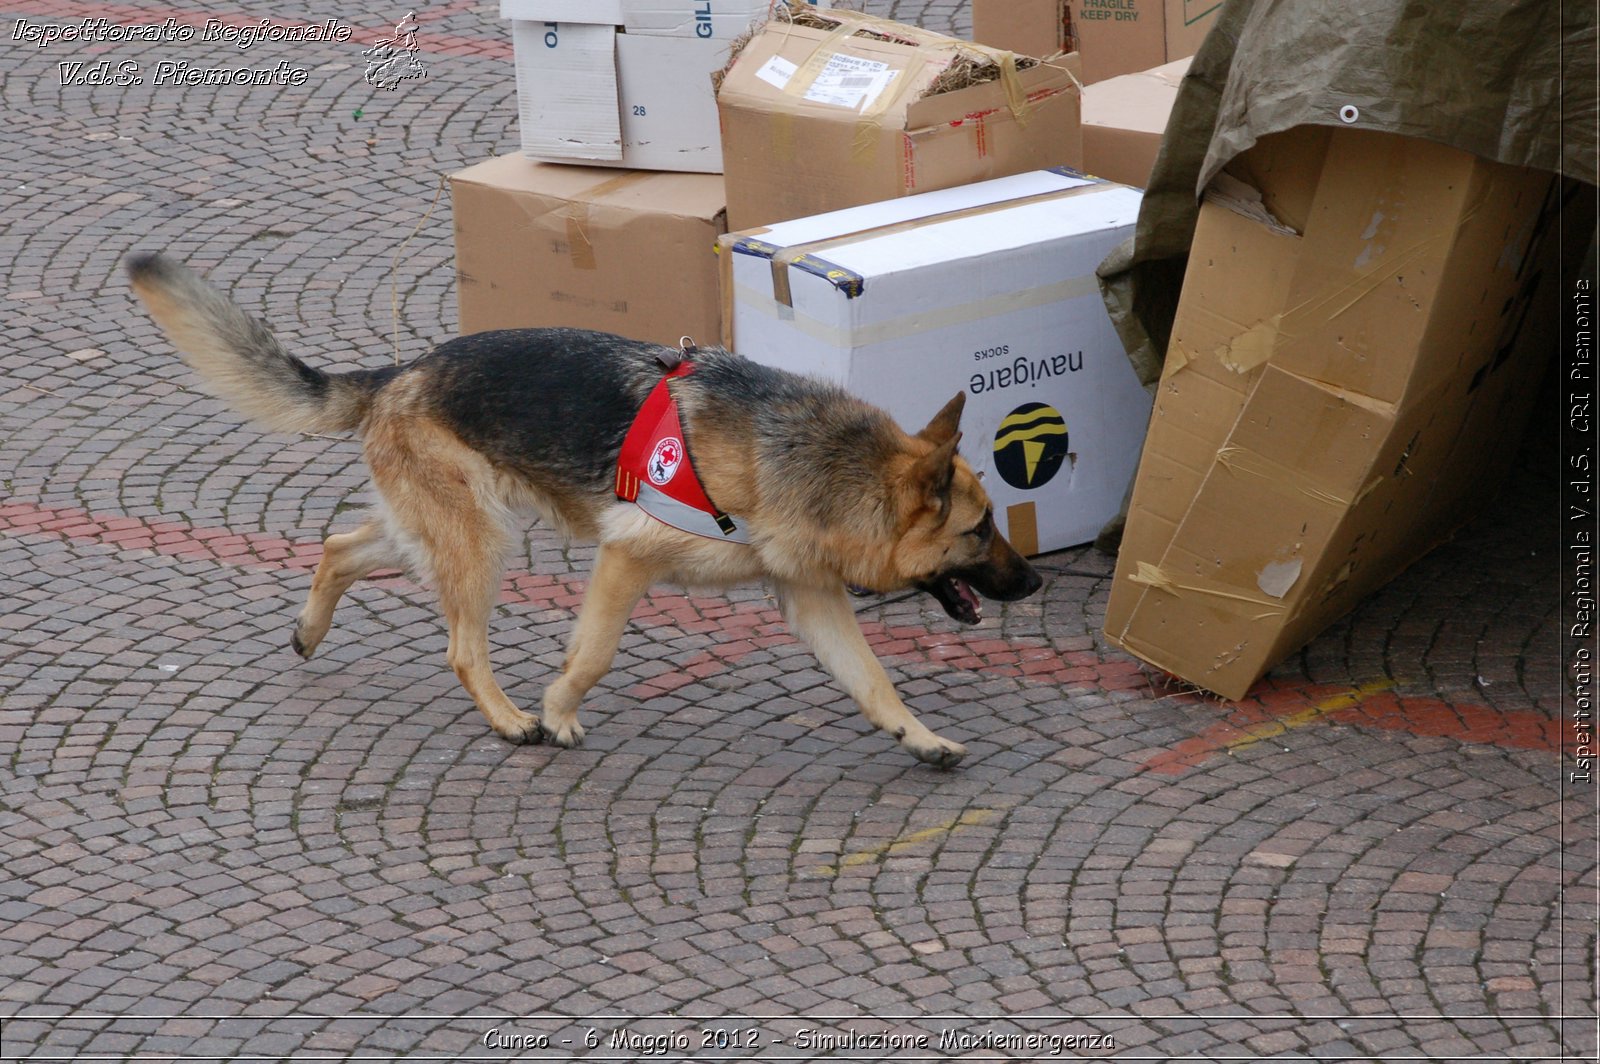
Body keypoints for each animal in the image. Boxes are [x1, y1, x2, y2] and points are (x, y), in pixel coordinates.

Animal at [128, 251, 1049, 764]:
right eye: (979, 531)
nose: (1036, 585)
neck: (805, 460)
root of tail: (399, 372)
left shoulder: (809, 596)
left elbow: (873, 681)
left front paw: (921, 739)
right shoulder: (628, 556)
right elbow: (594, 654)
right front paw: (557, 712)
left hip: (440, 530)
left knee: (337, 544)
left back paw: (309, 630)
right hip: (481, 543)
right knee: (460, 646)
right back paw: (509, 721)